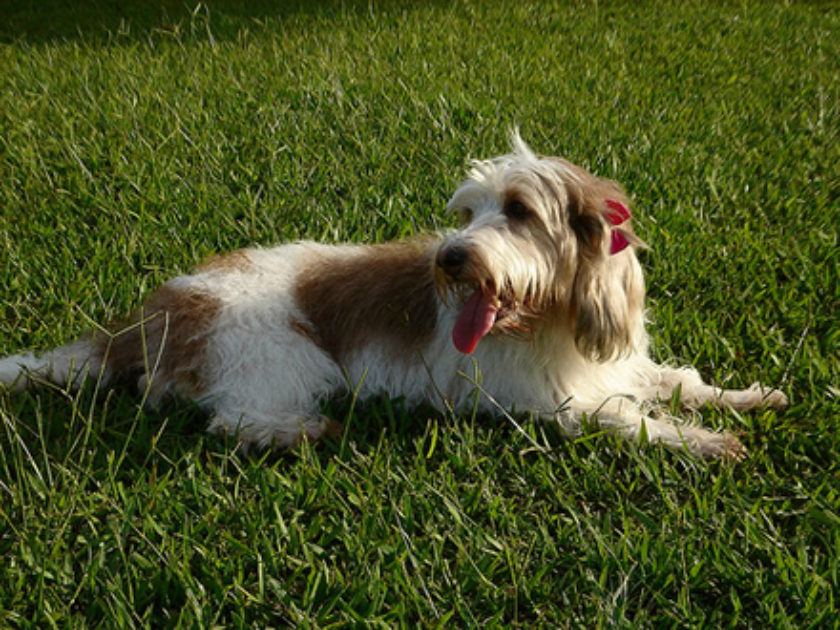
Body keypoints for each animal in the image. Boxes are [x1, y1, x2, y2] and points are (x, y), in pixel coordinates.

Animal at [1, 133, 788, 460]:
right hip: (280, 355)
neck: (550, 321)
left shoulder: (615, 366)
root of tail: (147, 315)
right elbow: (627, 421)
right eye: (468, 212)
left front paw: (745, 398)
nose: (451, 258)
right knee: (232, 419)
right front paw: (702, 443)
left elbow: (677, 382)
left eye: (519, 212)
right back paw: (299, 432)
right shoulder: (553, 405)